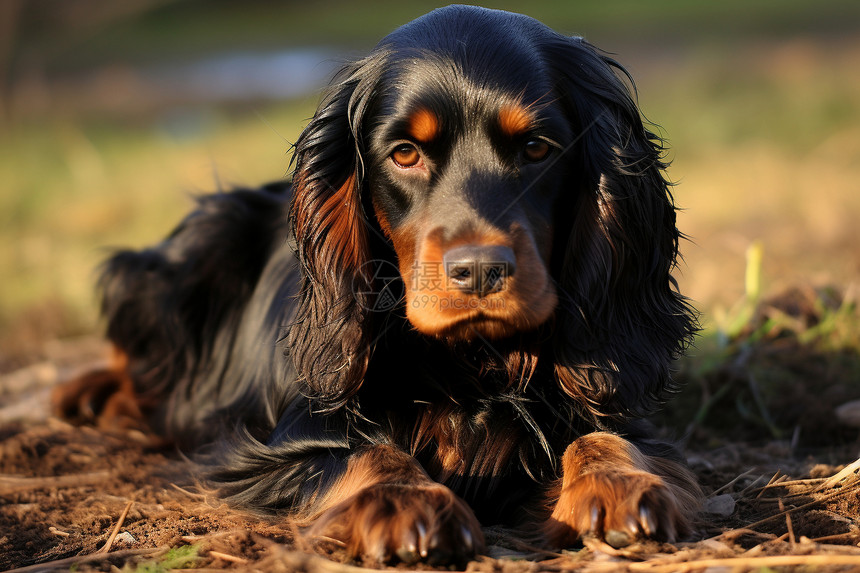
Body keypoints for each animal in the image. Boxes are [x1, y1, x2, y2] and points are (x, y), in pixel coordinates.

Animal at [52, 5, 700, 564]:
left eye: (538, 147)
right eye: (404, 154)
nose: (479, 271)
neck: (471, 363)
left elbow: (607, 435)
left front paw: (618, 482)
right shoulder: (279, 444)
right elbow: (366, 450)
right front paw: (402, 501)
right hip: (192, 248)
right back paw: (91, 394)